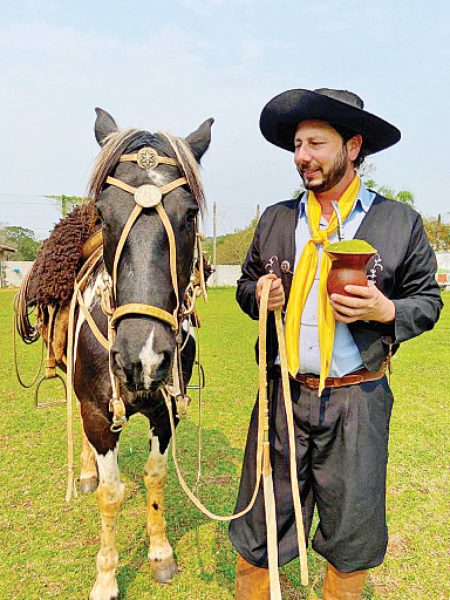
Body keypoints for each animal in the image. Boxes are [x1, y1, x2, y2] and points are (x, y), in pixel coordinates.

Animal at [32, 109, 214, 600]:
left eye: (190, 215)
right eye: (104, 214)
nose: (143, 358)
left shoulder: (164, 411)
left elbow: (156, 476)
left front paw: (161, 553)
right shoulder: (97, 411)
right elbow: (110, 494)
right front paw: (107, 577)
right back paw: (86, 473)